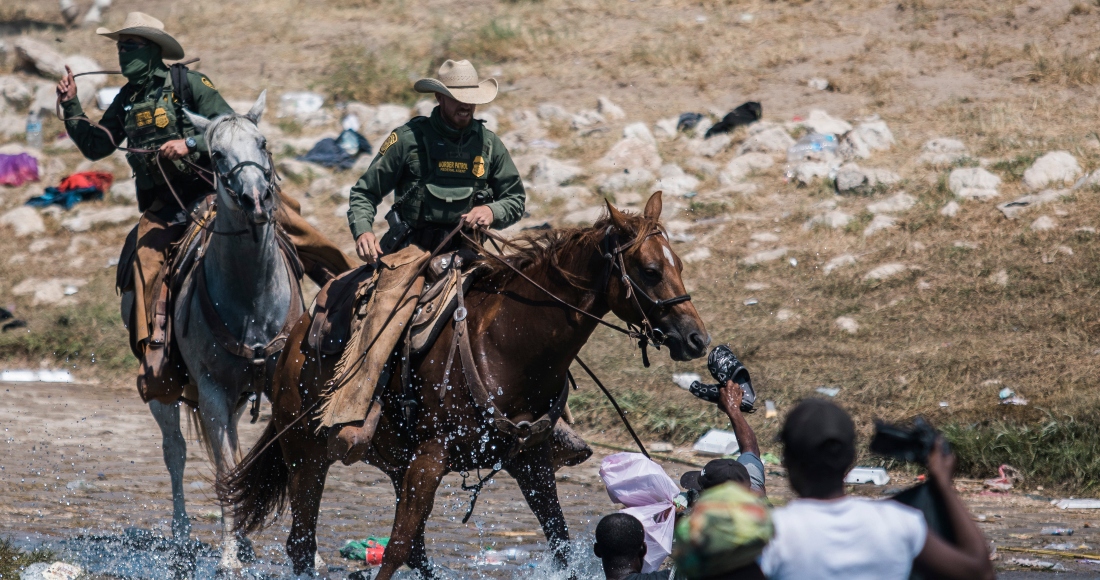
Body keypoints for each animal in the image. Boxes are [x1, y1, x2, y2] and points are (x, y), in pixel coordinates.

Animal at [147, 92, 305, 572]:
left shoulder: (279, 385)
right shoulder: (213, 392)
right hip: (166, 390)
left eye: (263, 142)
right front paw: (228, 557)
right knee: (176, 452)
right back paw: (183, 542)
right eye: (216, 155)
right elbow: (223, 470)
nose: (256, 199)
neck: (251, 296)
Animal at [221, 192, 712, 576]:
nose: (697, 339)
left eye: (679, 265)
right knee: (304, 543)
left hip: (393, 463)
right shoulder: (431, 458)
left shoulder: (530, 461)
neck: (508, 345)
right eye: (650, 270)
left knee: (413, 550)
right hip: (306, 454)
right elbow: (395, 549)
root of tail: (293, 341)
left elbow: (559, 543)